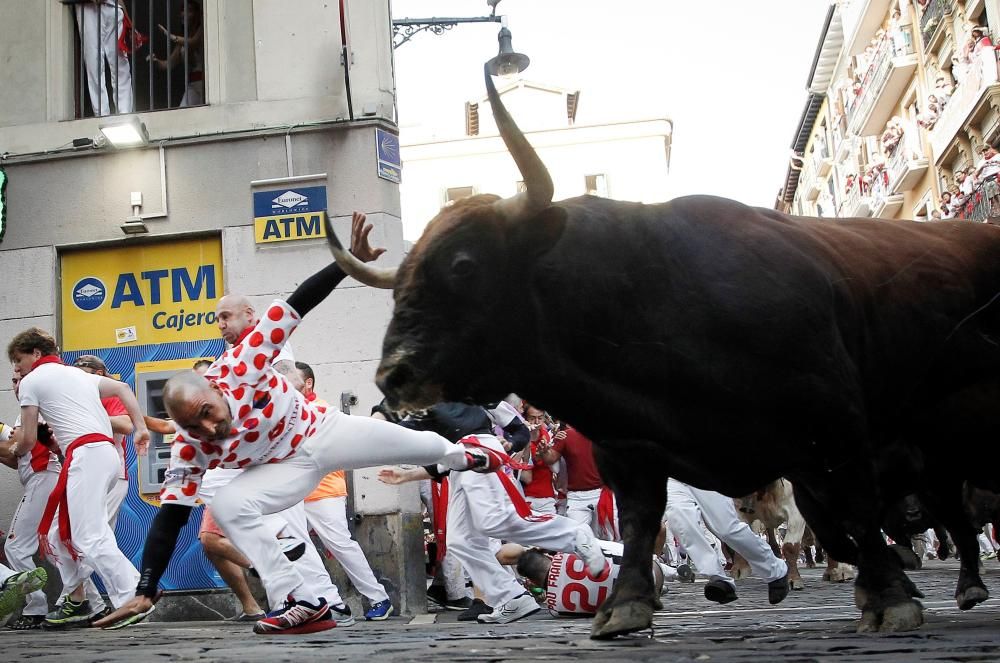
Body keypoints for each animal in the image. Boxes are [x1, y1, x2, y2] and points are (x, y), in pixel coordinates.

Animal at [326, 70, 1000, 640]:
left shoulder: (832, 427)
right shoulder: (630, 445)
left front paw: (890, 601)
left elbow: (854, 513)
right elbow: (641, 520)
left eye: (464, 265)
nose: (393, 374)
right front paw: (625, 607)